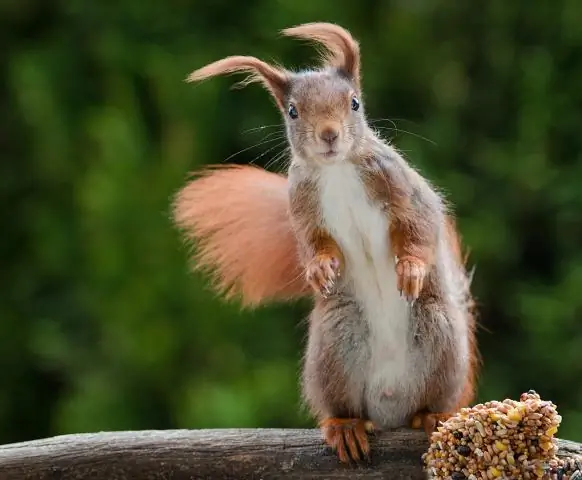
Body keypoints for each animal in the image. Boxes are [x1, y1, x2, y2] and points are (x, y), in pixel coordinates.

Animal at [176, 23, 482, 464]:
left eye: (354, 103)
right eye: (292, 111)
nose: (329, 134)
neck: (337, 170)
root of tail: (390, 403)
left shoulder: (401, 186)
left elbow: (421, 225)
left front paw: (411, 268)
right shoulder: (302, 210)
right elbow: (312, 245)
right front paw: (320, 269)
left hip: (441, 337)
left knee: (433, 397)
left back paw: (430, 416)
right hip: (335, 347)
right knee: (343, 405)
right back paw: (346, 426)